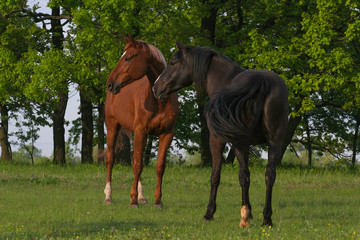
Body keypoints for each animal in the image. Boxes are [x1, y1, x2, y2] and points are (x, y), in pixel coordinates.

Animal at [103, 37, 178, 208]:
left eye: (127, 58)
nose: (110, 83)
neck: (158, 100)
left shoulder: (166, 134)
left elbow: (159, 166)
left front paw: (158, 201)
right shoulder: (140, 131)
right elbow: (138, 165)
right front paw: (133, 201)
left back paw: (142, 196)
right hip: (112, 126)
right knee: (110, 159)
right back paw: (108, 196)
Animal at [153, 42, 288, 227]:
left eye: (173, 63)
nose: (155, 87)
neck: (224, 81)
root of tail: (261, 82)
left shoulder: (217, 140)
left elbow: (216, 176)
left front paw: (209, 213)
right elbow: (246, 176)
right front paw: (248, 212)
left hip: (240, 142)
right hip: (274, 141)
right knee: (269, 175)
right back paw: (267, 218)